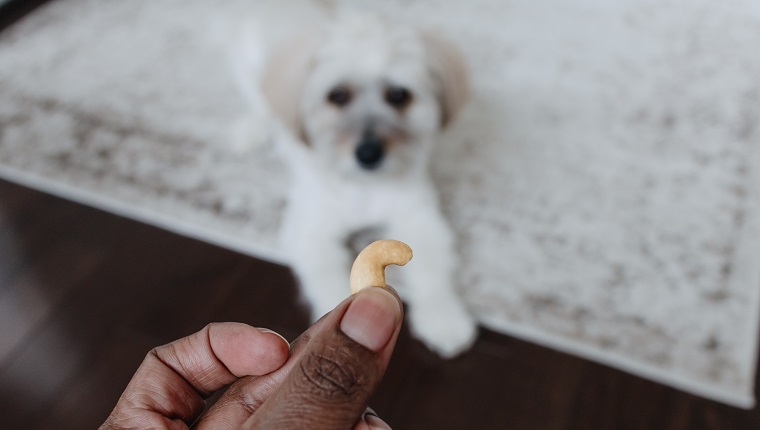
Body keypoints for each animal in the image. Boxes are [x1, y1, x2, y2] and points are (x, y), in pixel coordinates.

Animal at [235, 11, 478, 358]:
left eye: (398, 95)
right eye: (337, 96)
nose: (368, 154)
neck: (364, 185)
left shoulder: (420, 219)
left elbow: (433, 271)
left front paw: (443, 317)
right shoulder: (310, 234)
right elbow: (327, 281)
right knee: (261, 105)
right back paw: (250, 129)